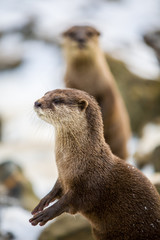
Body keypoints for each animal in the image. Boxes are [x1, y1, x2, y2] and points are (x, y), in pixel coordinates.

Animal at [29, 89, 160, 240]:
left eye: (57, 100)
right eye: (45, 94)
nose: (37, 102)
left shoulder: (88, 186)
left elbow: (71, 202)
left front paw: (46, 213)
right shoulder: (63, 177)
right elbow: (57, 189)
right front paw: (43, 202)